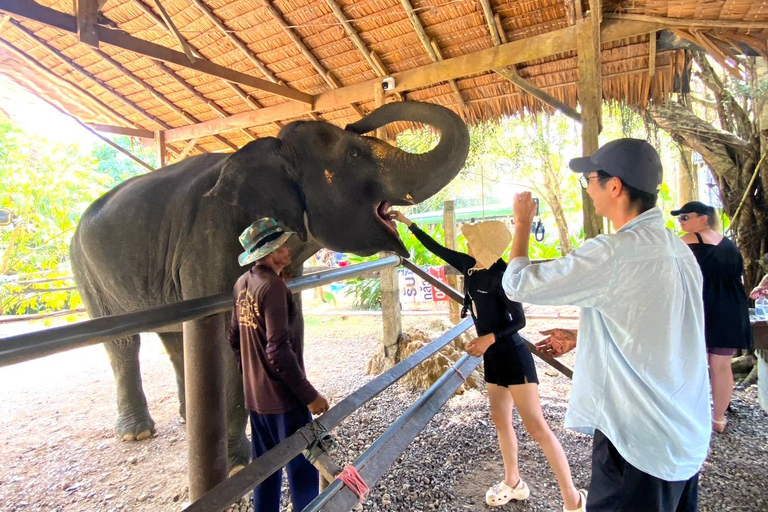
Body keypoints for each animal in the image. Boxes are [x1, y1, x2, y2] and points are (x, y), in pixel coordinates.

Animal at [69, 101, 470, 469]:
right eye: (354, 153)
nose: (359, 119)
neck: (269, 150)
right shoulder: (208, 244)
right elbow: (227, 341)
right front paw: (240, 462)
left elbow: (292, 327)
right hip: (86, 271)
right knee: (124, 344)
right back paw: (137, 433)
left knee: (172, 338)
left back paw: (186, 419)